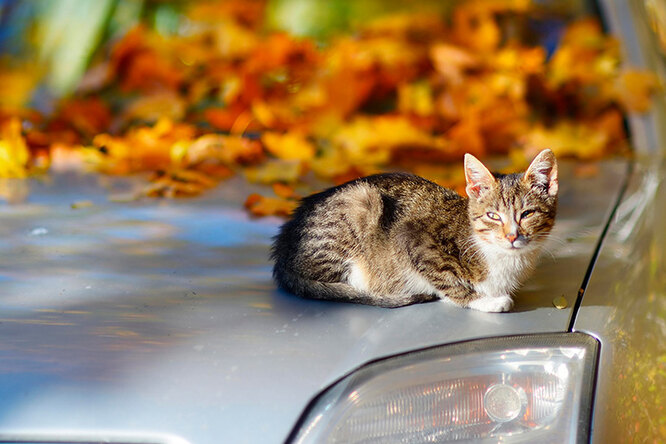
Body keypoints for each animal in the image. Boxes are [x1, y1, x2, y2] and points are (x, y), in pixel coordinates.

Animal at [270, 149, 556, 312]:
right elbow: (443, 277)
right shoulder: (412, 237)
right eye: (493, 216)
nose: (512, 236)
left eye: (527, 214)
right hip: (361, 200)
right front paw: (484, 300)